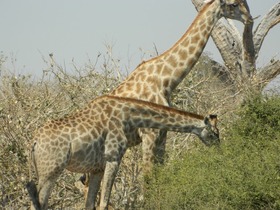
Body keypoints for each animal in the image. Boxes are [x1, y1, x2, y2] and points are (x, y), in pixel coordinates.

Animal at [26, 95, 219, 210]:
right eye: (214, 133)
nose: (219, 148)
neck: (128, 117)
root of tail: (34, 142)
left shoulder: (97, 168)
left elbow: (90, 204)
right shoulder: (113, 157)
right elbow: (104, 203)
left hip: (43, 172)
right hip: (50, 172)